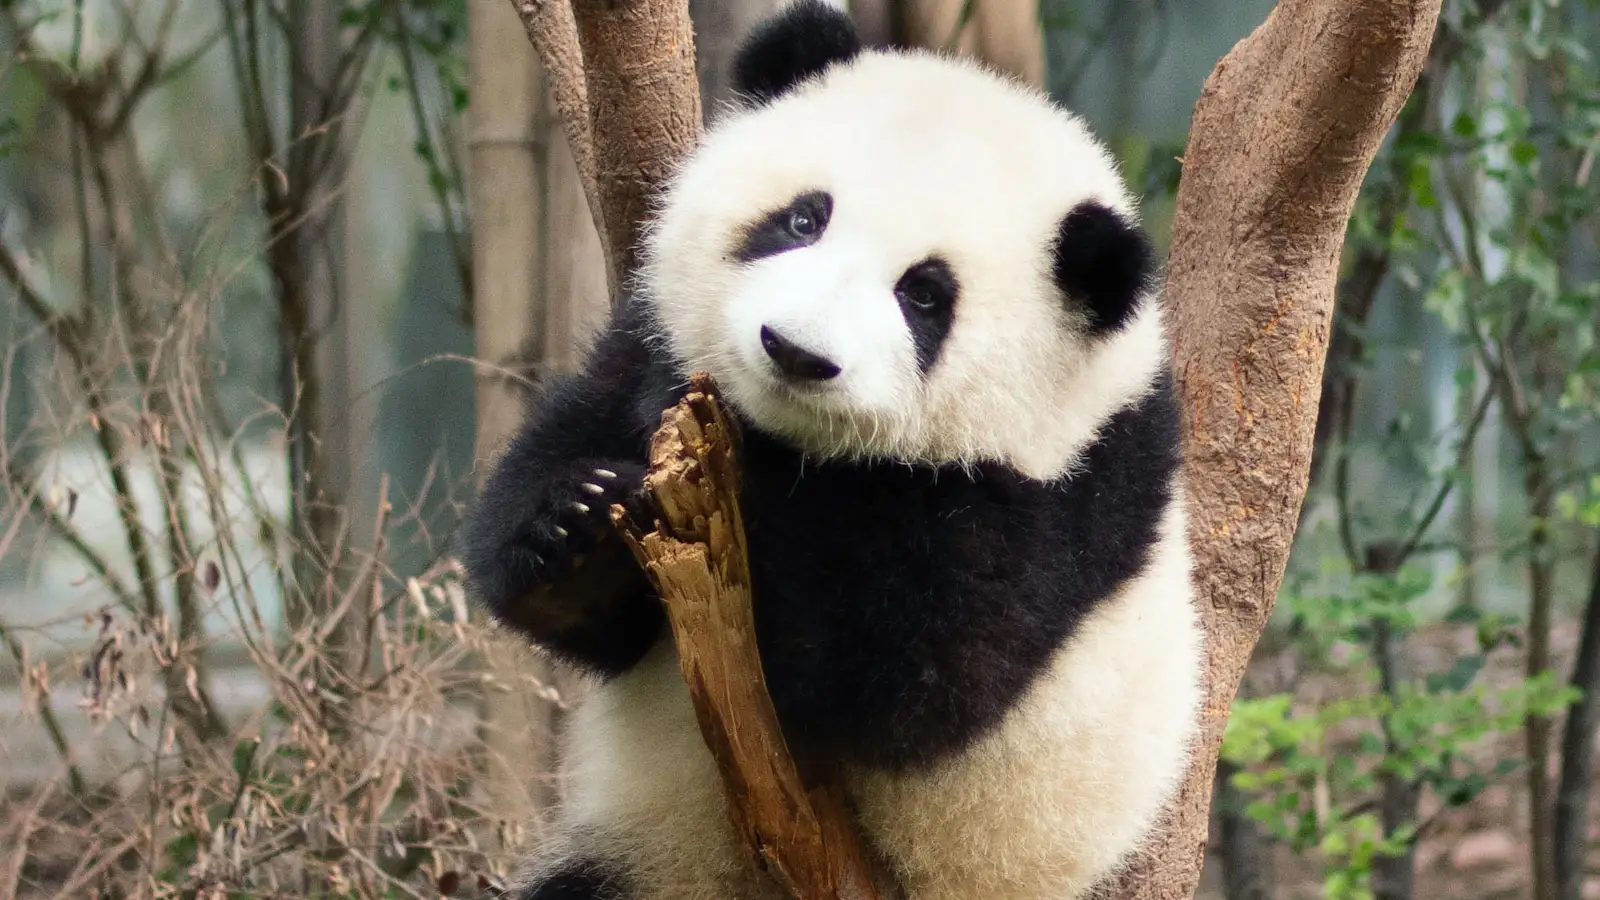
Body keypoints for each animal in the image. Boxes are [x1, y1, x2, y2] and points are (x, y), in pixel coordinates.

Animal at [460, 2, 1203, 899]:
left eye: (925, 295)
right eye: (803, 219)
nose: (794, 350)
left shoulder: (1052, 501)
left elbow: (899, 680)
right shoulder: (645, 337)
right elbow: (580, 548)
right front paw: (578, 520)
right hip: (643, 852)